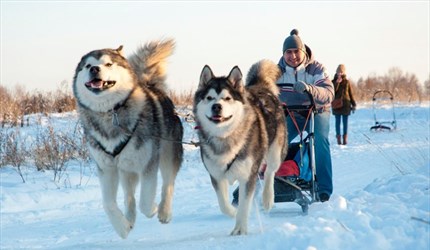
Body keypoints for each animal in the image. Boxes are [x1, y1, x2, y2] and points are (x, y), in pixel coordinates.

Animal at [72, 39, 183, 238]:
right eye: (88, 66)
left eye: (108, 64)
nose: (95, 69)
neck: (110, 113)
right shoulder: (106, 169)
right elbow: (108, 203)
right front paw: (122, 227)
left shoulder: (148, 164)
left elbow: (146, 201)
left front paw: (153, 209)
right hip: (126, 170)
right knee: (129, 197)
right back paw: (129, 219)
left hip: (168, 155)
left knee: (167, 185)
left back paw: (164, 211)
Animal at [194, 59, 288, 235]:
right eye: (209, 98)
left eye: (227, 98)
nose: (216, 106)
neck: (225, 137)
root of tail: (260, 87)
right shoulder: (216, 175)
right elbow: (223, 204)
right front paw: (232, 212)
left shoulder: (248, 175)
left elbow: (244, 204)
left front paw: (240, 229)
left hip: (275, 151)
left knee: (270, 172)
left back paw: (267, 198)